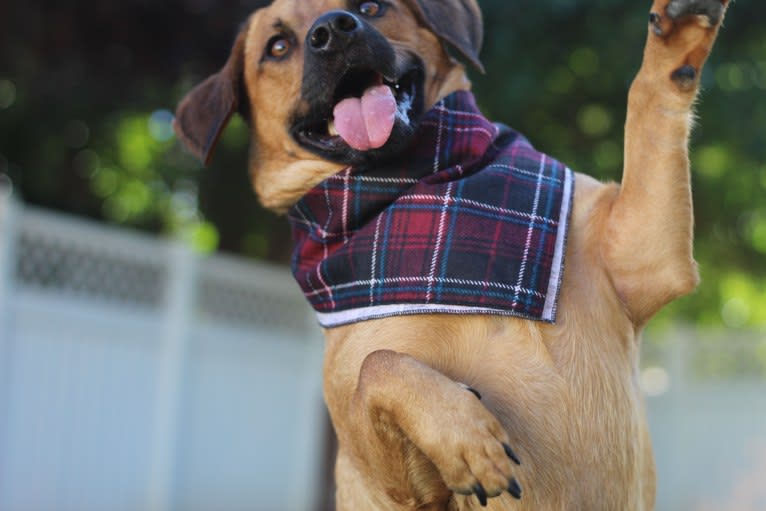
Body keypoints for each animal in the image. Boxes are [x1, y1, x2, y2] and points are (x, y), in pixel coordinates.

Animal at [174, 2, 732, 510]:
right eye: (277, 46)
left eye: (372, 6)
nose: (334, 30)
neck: (421, 181)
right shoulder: (389, 481)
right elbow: (379, 364)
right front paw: (466, 439)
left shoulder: (644, 253)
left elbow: (649, 102)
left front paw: (677, 38)